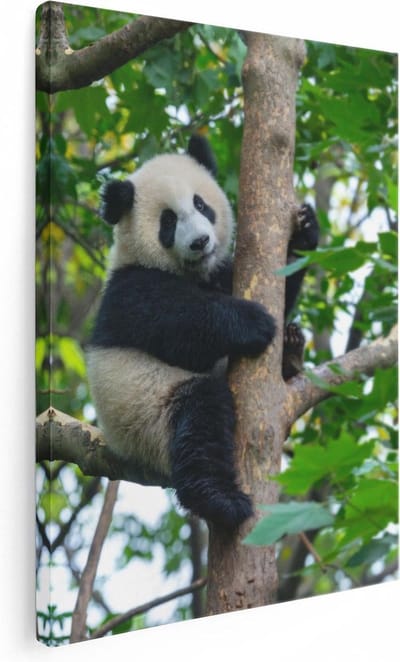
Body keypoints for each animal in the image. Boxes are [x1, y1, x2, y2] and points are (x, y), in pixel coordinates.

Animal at [86, 135, 319, 530]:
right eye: (168, 221)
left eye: (200, 204)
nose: (200, 242)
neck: (189, 271)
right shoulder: (129, 290)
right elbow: (179, 328)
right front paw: (253, 322)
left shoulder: (219, 273)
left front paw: (303, 231)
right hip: (146, 413)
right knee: (200, 417)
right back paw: (221, 500)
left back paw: (290, 351)